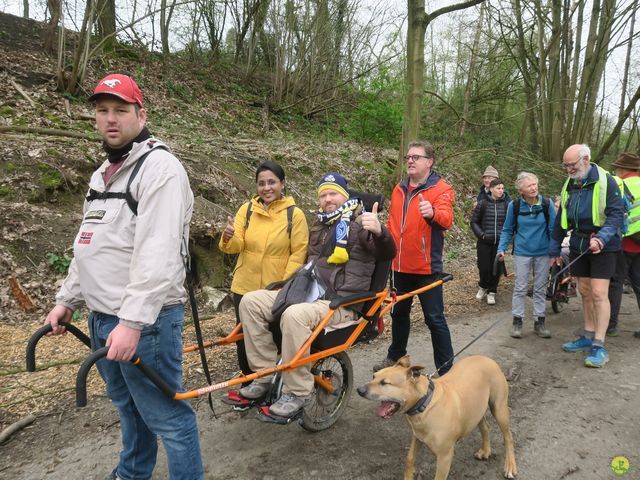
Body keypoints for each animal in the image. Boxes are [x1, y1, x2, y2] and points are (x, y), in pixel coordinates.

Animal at [358, 354, 516, 478]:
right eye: (373, 376)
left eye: (384, 383)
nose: (359, 390)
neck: (424, 403)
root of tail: (486, 358)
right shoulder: (417, 437)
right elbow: (409, 459)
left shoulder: (444, 457)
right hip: (476, 409)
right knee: (485, 426)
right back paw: (486, 450)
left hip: (499, 408)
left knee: (508, 437)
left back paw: (510, 466)